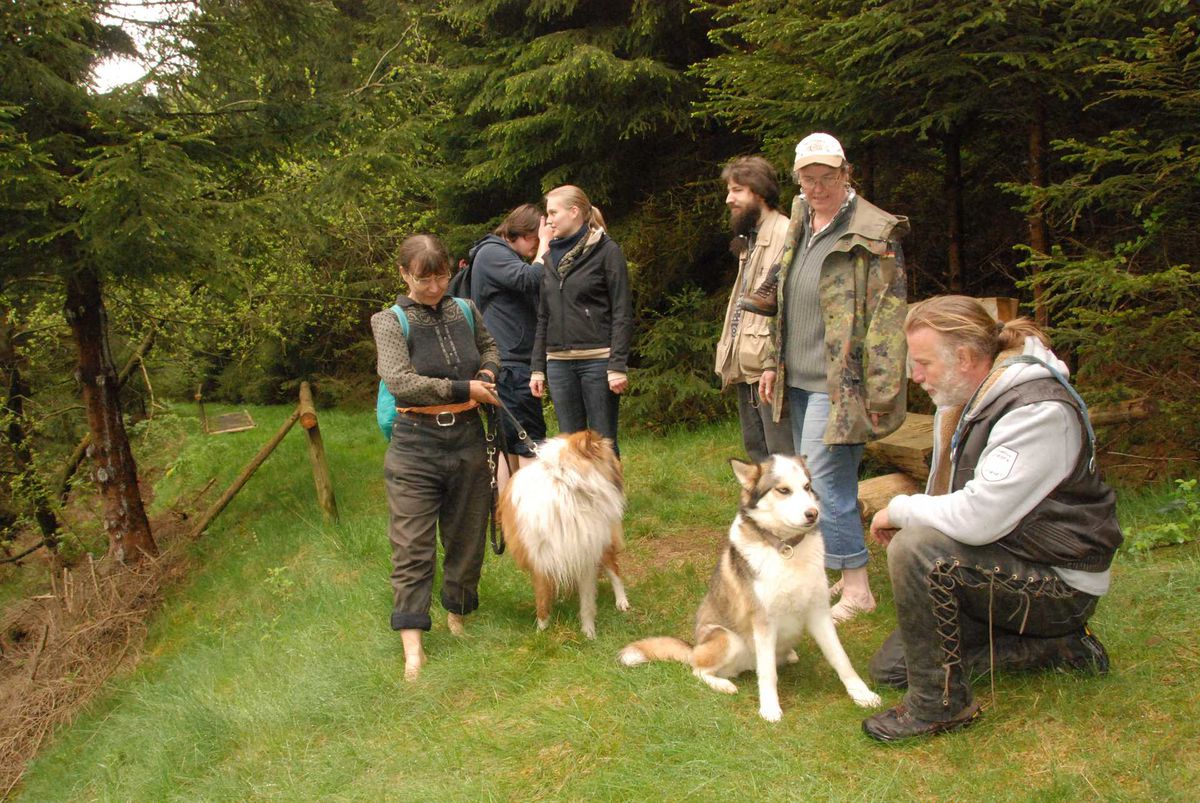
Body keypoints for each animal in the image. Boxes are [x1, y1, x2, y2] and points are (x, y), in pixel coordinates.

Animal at [499, 429, 630, 639]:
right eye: (610, 455)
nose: (620, 469)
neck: (566, 482)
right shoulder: (540, 558)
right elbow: (542, 599)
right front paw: (541, 631)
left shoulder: (586, 553)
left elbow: (587, 602)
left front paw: (589, 633)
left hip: (604, 542)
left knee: (614, 569)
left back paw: (622, 601)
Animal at [618, 455, 881, 721]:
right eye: (783, 490)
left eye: (807, 487)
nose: (813, 514)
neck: (787, 548)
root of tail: (694, 647)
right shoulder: (764, 622)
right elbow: (767, 674)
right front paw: (770, 708)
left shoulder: (819, 613)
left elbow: (841, 658)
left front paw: (862, 694)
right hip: (727, 638)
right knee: (698, 669)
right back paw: (723, 685)